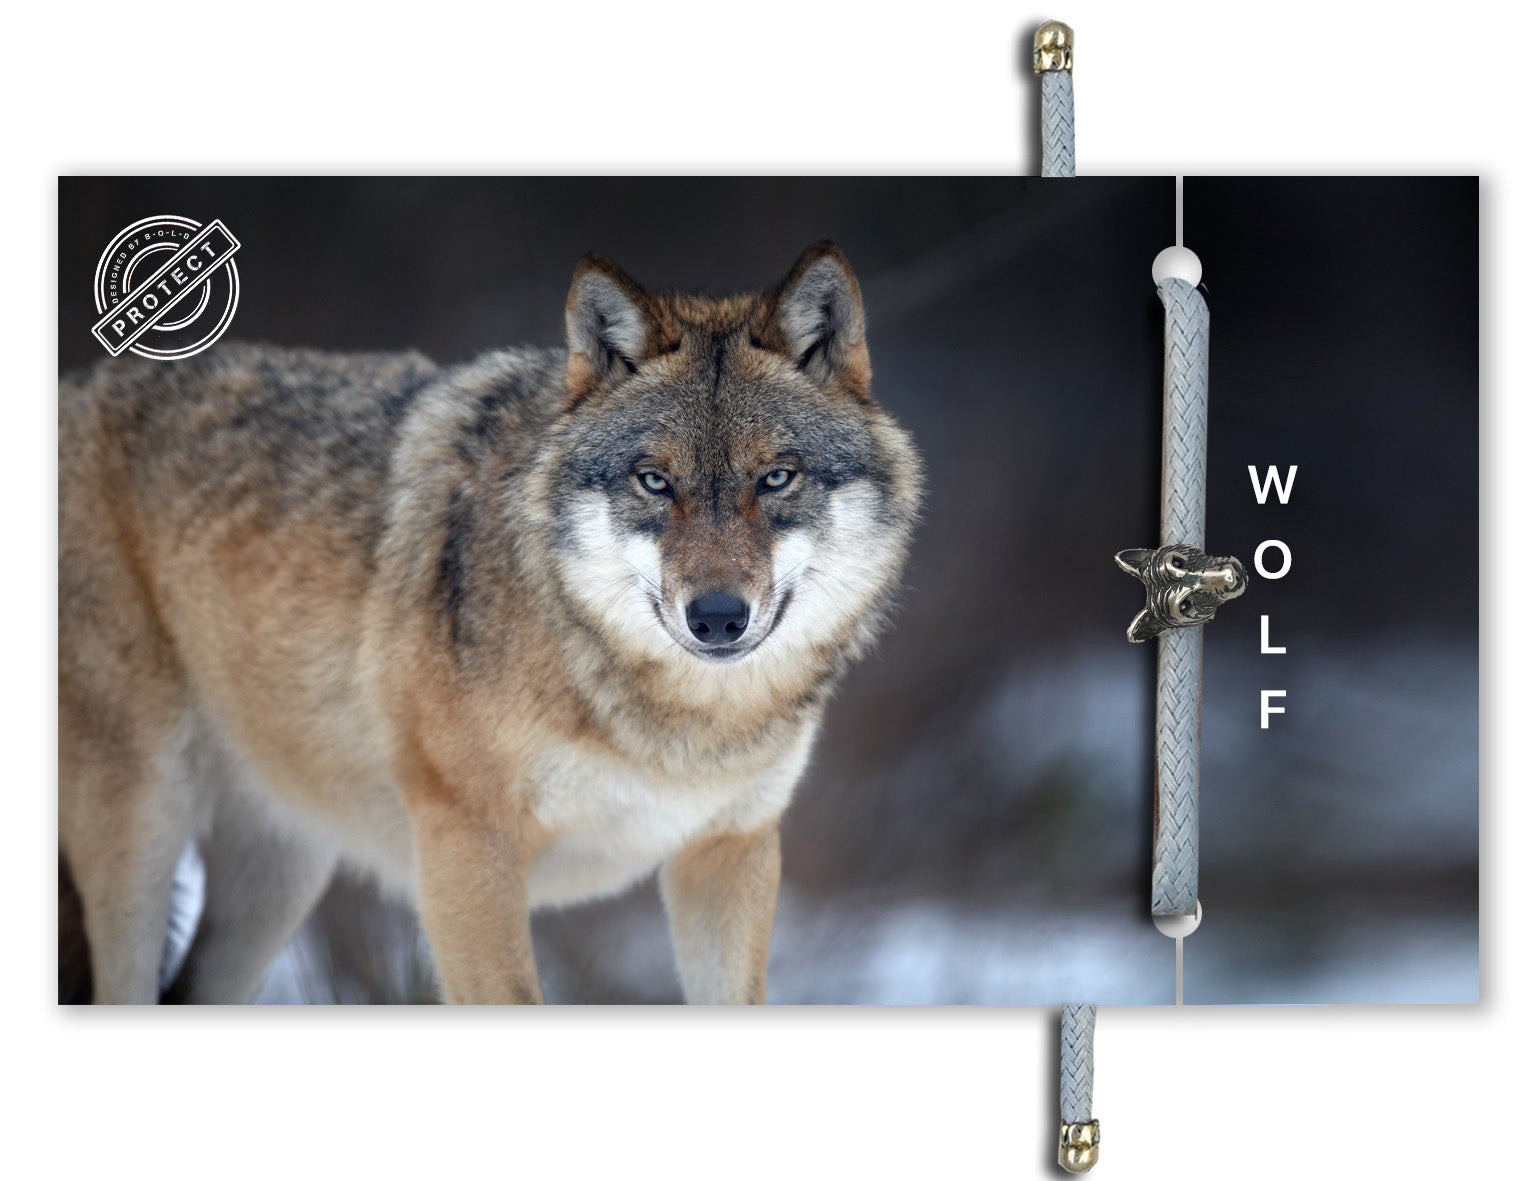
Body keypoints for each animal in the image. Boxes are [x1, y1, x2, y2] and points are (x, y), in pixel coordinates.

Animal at [58, 242, 923, 1004]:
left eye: (776, 478)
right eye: (653, 481)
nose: (716, 618)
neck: (676, 727)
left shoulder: (729, 851)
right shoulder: (466, 845)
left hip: (281, 875)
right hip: (145, 824)